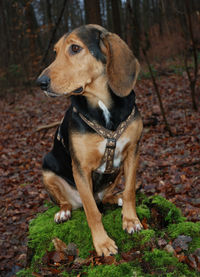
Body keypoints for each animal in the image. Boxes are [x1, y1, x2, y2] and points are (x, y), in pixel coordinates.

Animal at [36, 24, 143, 256]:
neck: (101, 103)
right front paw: (102, 243)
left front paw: (131, 220)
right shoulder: (81, 168)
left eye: (75, 48)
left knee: (107, 196)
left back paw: (115, 197)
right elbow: (92, 212)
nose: (40, 83)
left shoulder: (133, 152)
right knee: (68, 202)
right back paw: (63, 212)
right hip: (47, 167)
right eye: (55, 52)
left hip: (116, 172)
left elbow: (130, 190)